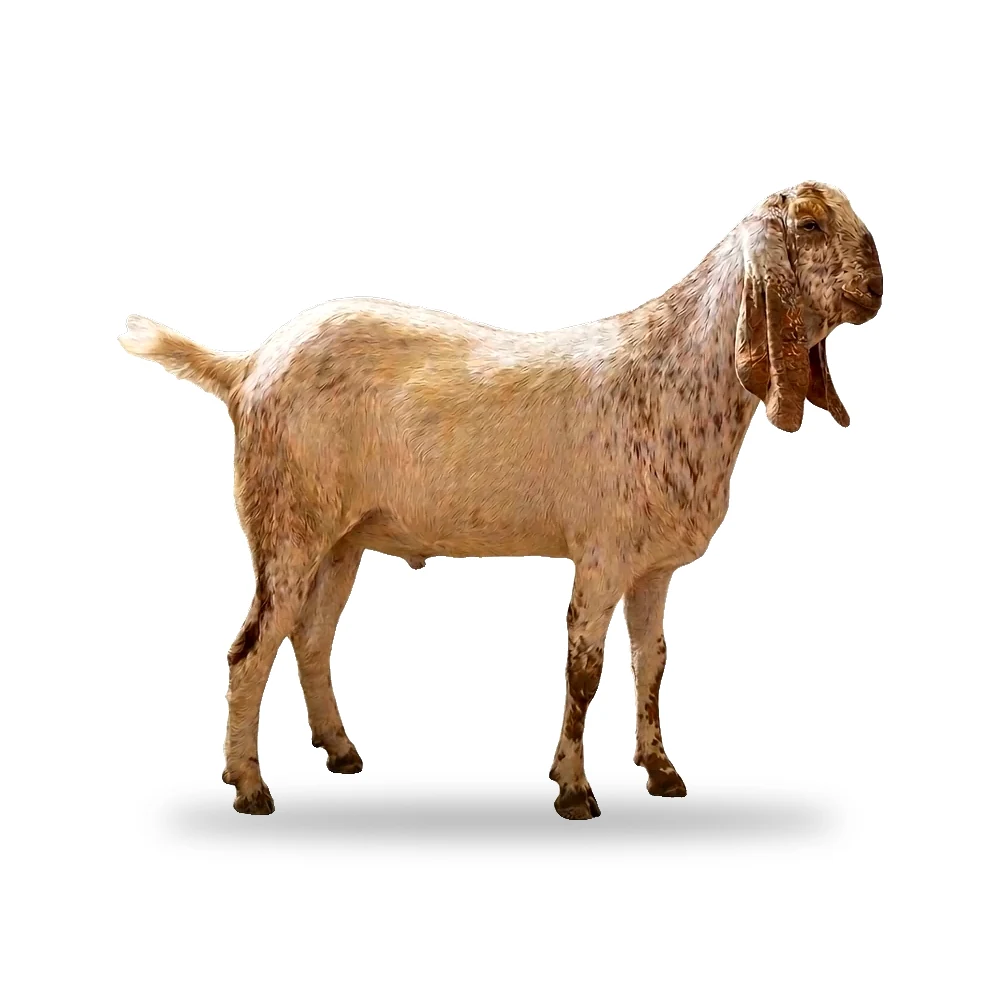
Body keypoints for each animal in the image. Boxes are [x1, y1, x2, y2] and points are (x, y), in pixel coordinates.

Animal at [120, 181, 882, 820]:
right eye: (810, 224)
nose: (876, 288)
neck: (672, 375)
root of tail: (246, 366)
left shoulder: (654, 568)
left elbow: (653, 662)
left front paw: (662, 771)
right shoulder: (601, 555)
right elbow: (584, 670)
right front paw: (573, 788)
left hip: (340, 542)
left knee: (310, 637)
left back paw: (339, 750)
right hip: (286, 525)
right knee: (250, 650)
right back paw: (250, 787)